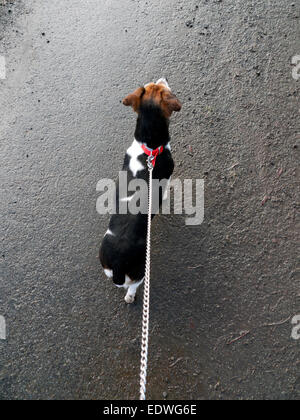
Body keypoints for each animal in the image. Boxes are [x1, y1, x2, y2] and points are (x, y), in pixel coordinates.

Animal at [99, 78, 182, 302]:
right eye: (162, 87)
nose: (163, 78)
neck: (149, 146)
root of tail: (118, 264)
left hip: (106, 267)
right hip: (140, 272)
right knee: (133, 287)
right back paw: (131, 296)